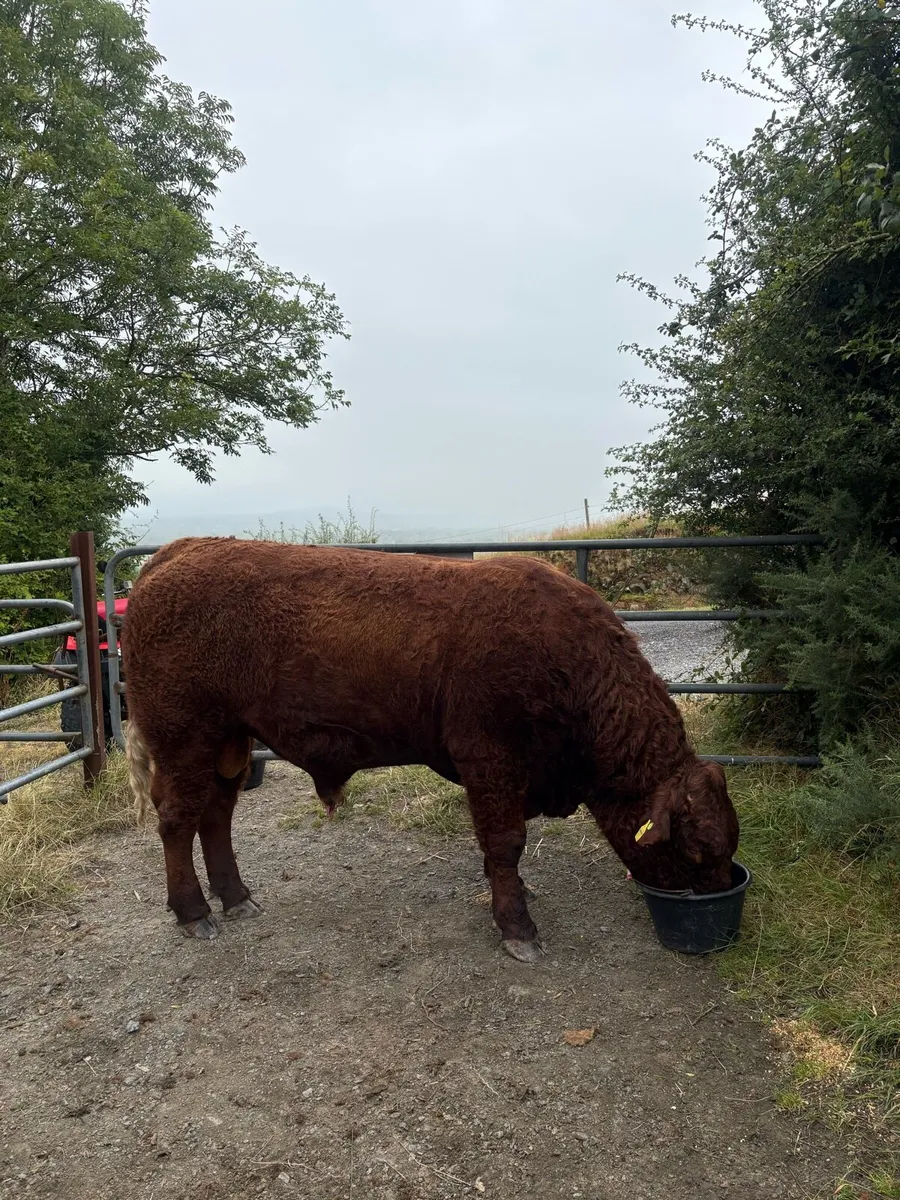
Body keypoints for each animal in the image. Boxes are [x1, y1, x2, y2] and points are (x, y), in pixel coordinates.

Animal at [123, 537, 739, 962]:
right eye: (697, 851)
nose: (718, 900)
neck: (567, 662)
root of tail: (178, 551)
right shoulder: (491, 760)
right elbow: (506, 844)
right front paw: (517, 928)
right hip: (184, 737)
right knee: (177, 818)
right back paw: (195, 912)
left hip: (229, 742)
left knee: (216, 816)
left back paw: (236, 896)